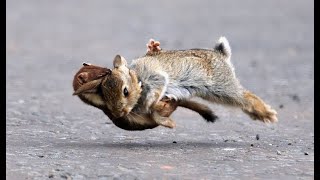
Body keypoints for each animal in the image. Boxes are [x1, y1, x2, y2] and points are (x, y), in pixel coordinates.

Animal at [100, 35, 278, 124]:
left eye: (125, 91)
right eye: (103, 94)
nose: (118, 113)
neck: (137, 77)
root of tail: (221, 54)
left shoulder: (154, 76)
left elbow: (157, 86)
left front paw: (151, 102)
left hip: (222, 87)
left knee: (247, 97)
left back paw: (267, 114)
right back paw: (258, 115)